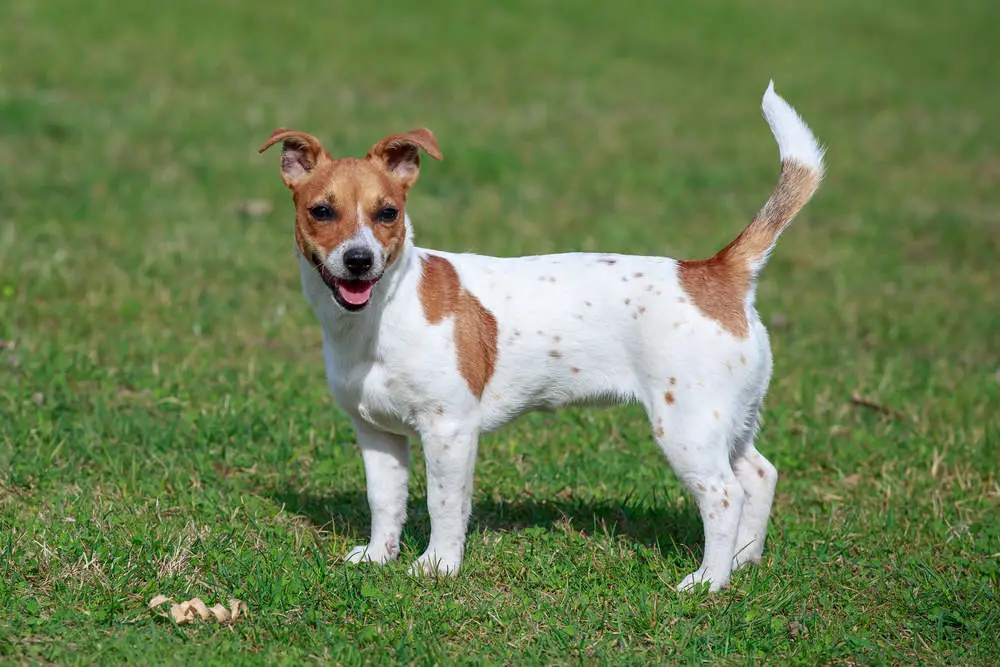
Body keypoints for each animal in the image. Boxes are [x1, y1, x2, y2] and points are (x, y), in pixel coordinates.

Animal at [260, 82, 828, 588]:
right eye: (321, 211)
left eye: (388, 213)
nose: (359, 260)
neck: (380, 315)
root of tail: (716, 272)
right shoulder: (377, 432)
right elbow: (386, 501)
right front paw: (380, 557)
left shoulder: (449, 430)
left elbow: (443, 503)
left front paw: (437, 567)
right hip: (727, 420)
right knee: (759, 477)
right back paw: (743, 562)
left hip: (687, 428)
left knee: (725, 496)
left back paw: (709, 581)